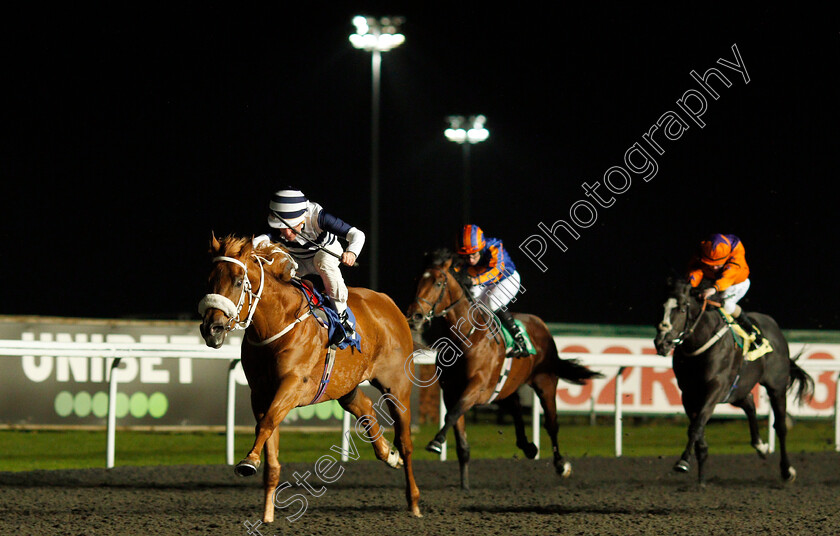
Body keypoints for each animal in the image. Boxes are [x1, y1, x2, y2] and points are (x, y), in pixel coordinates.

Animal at [198, 234, 420, 520]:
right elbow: (270, 446)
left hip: (397, 386)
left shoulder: (293, 386)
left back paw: (414, 501)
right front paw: (267, 514)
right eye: (210, 279)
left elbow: (267, 424)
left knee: (405, 441)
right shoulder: (260, 393)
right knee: (365, 407)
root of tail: (388, 303)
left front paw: (248, 461)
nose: (211, 329)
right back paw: (389, 454)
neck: (278, 325)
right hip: (344, 385)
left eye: (238, 281)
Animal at [406, 249, 596, 488]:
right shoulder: (451, 392)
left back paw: (561, 465)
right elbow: (459, 434)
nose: (415, 316)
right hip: (505, 386)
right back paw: (528, 447)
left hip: (545, 382)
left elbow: (451, 415)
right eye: (416, 280)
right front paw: (464, 485)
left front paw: (436, 441)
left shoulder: (477, 387)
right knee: (515, 406)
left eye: (438, 283)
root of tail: (541, 324)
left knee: (552, 424)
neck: (465, 337)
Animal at [648, 278, 812, 484]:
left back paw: (787, 470)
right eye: (661, 307)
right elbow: (697, 427)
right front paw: (701, 477)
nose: (661, 342)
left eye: (683, 309)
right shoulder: (689, 393)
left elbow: (696, 427)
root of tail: (776, 329)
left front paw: (683, 462)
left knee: (781, 426)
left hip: (776, 386)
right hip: (737, 389)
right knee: (749, 403)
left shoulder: (715, 387)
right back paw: (761, 446)